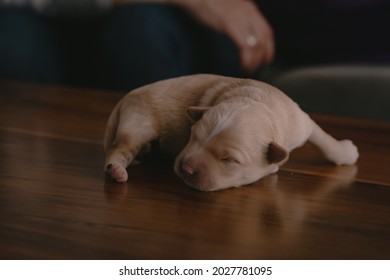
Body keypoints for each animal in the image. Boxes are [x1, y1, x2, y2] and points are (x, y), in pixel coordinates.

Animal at [104, 74, 360, 191]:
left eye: (228, 160)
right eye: (192, 137)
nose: (185, 169)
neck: (251, 100)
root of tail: (125, 98)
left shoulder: (301, 121)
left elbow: (324, 138)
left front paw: (346, 152)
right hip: (138, 122)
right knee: (120, 149)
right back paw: (117, 169)